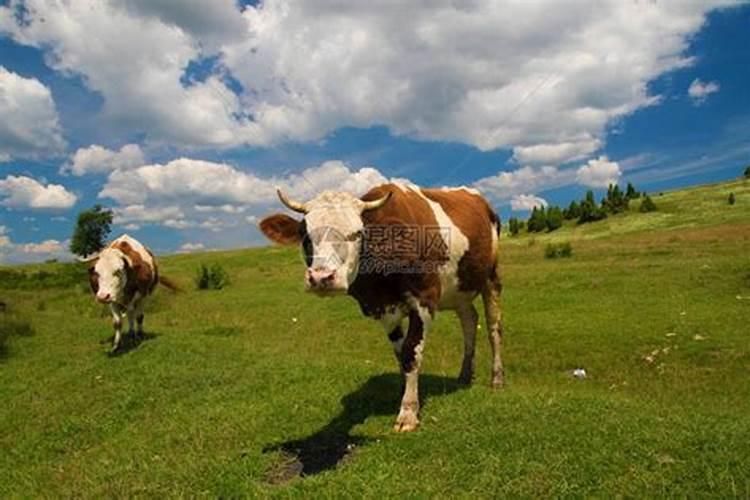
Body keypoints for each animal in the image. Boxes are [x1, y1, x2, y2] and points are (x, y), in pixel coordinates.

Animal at [262, 182, 508, 432]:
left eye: (358, 233)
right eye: (305, 235)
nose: (322, 278)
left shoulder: (424, 300)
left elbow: (411, 352)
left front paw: (408, 412)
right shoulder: (384, 309)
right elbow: (400, 354)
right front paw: (406, 392)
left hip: (490, 277)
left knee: (493, 327)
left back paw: (497, 378)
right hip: (460, 290)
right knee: (469, 321)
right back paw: (465, 374)